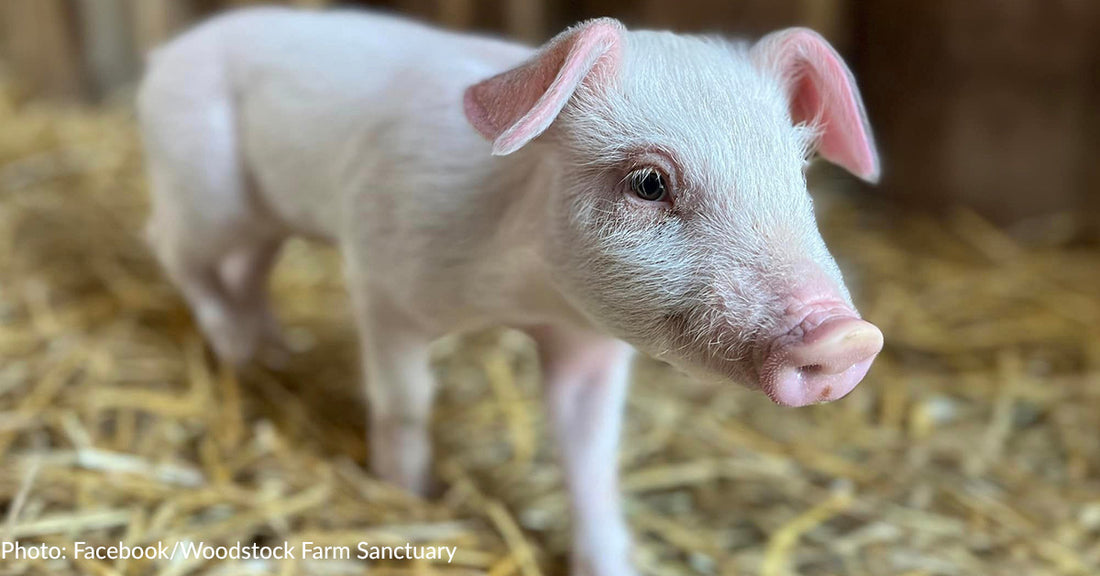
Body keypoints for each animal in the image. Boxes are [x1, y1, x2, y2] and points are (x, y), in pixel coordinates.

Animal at [138, 7, 883, 576]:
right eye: (648, 182)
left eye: (798, 175)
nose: (848, 335)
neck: (523, 298)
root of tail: (165, 54)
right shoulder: (381, 281)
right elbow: (406, 404)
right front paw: (409, 497)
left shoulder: (589, 343)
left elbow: (590, 453)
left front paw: (610, 562)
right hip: (204, 190)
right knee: (168, 243)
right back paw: (234, 346)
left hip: (262, 215)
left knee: (249, 268)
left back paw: (269, 352)